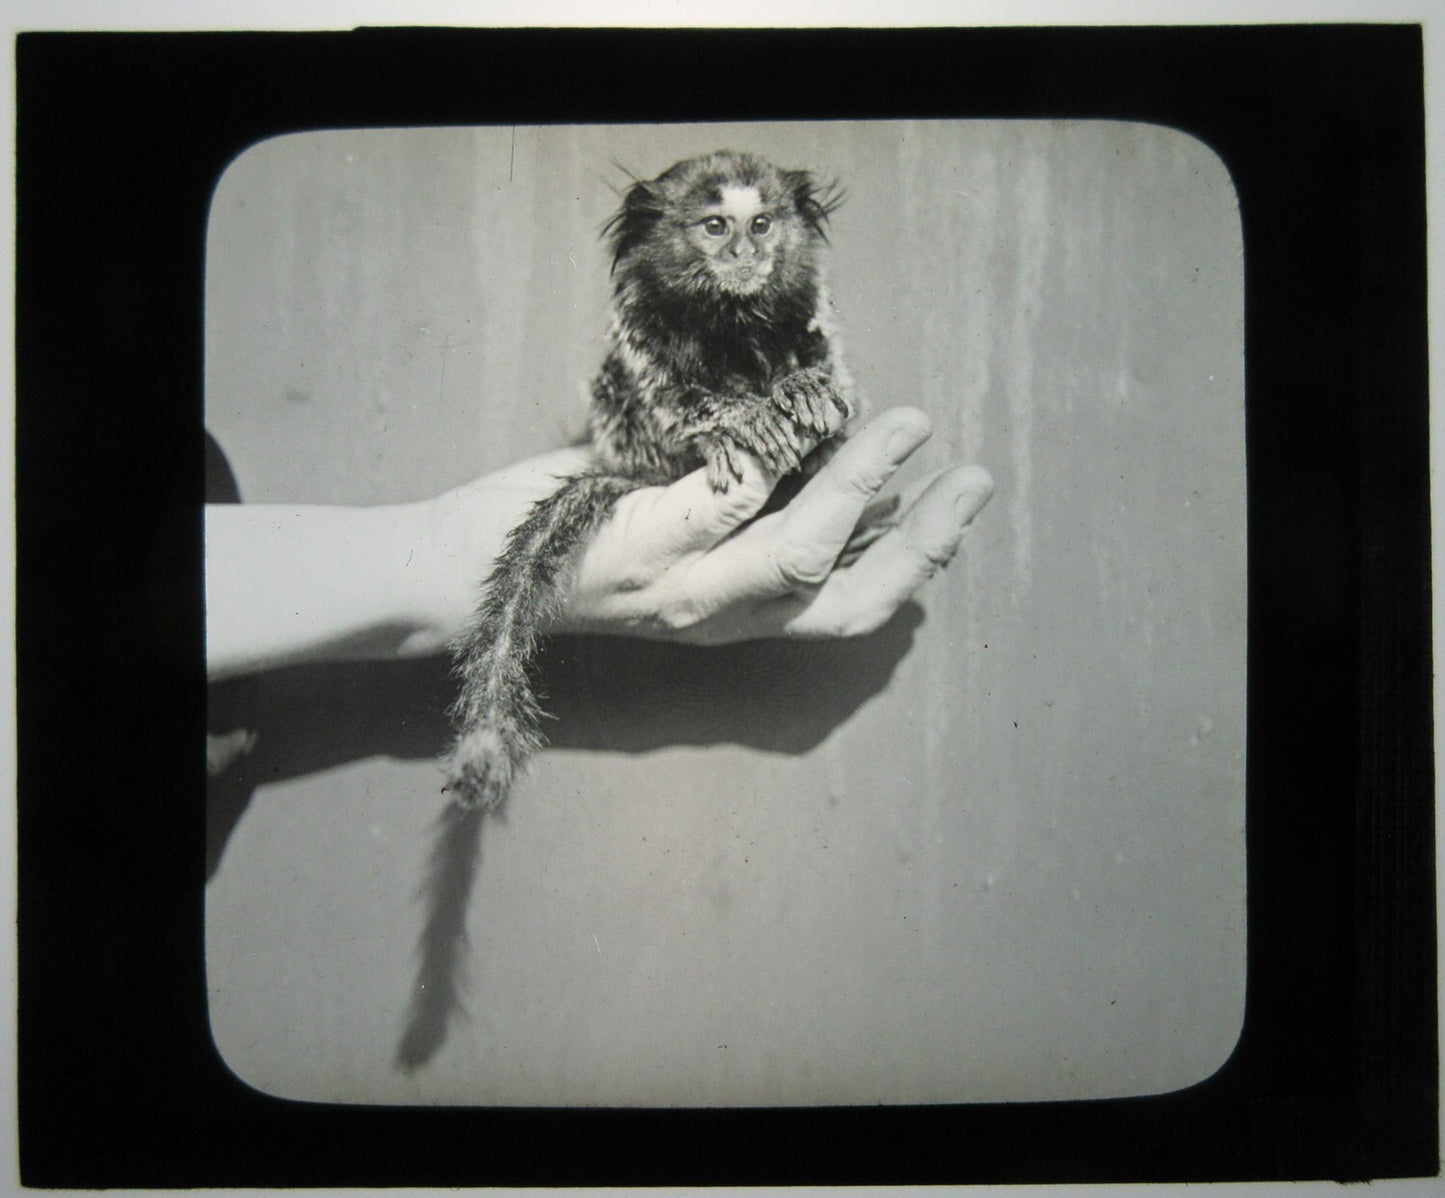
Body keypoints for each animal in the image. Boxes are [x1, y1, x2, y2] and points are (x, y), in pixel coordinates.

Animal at [395, 150, 857, 1071]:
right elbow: (665, 394)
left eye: (763, 223)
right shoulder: (640, 351)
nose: (746, 253)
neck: (730, 319)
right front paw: (733, 418)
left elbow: (827, 370)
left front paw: (804, 394)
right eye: (713, 226)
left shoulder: (812, 317)